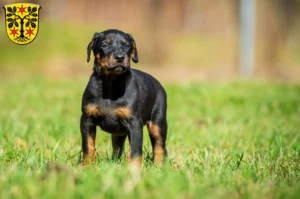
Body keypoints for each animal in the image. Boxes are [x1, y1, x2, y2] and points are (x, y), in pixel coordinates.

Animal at [79, 29, 168, 166]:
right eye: (105, 45)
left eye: (127, 45)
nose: (120, 57)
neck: (111, 84)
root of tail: (158, 83)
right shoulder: (87, 120)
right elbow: (88, 146)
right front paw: (87, 167)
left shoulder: (134, 123)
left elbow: (135, 151)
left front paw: (135, 169)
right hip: (118, 132)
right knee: (118, 147)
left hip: (158, 121)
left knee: (159, 145)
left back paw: (159, 166)